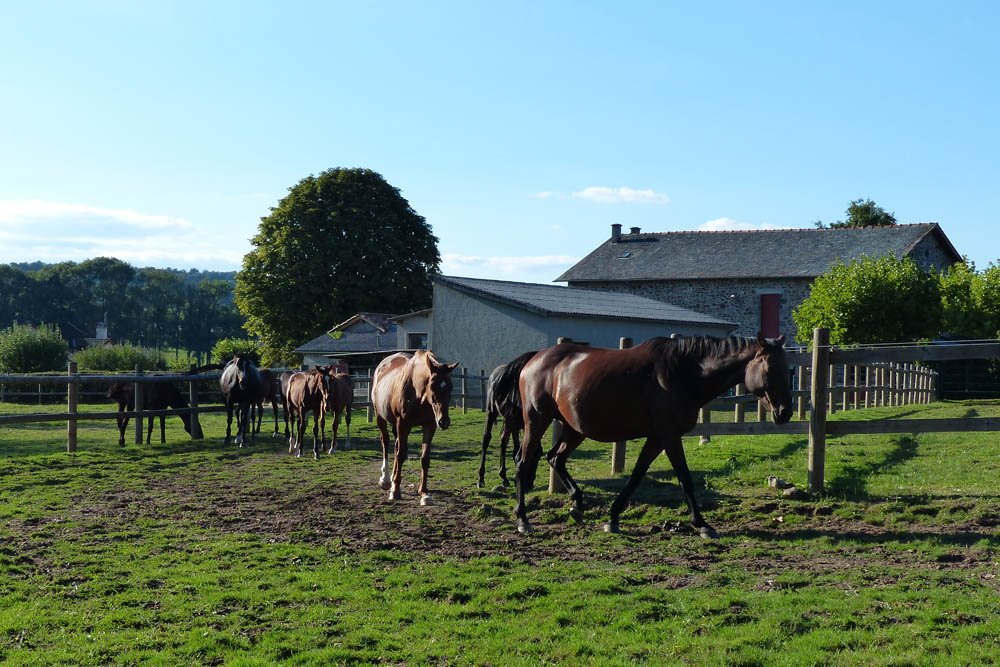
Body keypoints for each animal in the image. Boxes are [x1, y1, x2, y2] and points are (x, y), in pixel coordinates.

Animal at [371, 350, 459, 505]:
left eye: (450, 387)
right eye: (433, 387)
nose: (444, 421)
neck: (418, 394)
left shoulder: (429, 426)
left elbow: (424, 458)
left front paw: (424, 493)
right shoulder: (402, 424)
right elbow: (400, 455)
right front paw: (395, 491)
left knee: (396, 446)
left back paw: (393, 479)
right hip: (380, 417)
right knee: (386, 442)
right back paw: (386, 480)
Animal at [477, 351, 537, 490]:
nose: (529, 483)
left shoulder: (519, 423)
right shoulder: (514, 421)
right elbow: (515, 448)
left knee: (505, 440)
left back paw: (504, 476)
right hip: (492, 412)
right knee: (487, 438)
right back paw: (481, 478)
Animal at [514, 333, 793, 537]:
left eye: (788, 370)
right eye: (770, 370)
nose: (785, 412)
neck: (682, 373)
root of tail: (535, 358)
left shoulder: (657, 438)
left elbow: (637, 475)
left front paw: (612, 518)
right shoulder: (668, 436)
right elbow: (684, 478)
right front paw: (702, 524)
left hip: (574, 428)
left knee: (555, 458)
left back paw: (577, 505)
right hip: (537, 422)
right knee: (523, 463)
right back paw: (523, 519)